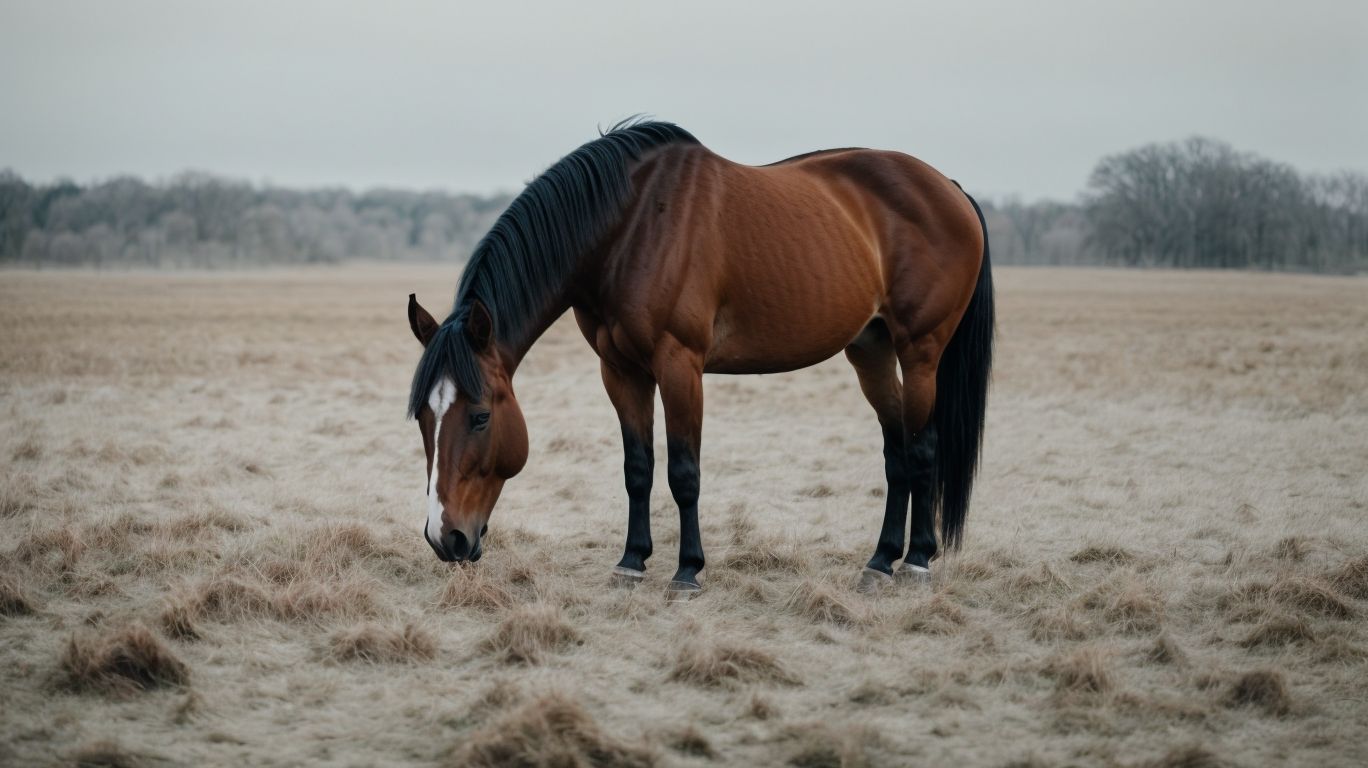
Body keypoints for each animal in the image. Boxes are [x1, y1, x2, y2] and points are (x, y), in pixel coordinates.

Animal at [406, 119, 993, 596]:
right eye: (423, 419)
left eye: (481, 417)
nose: (445, 538)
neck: (630, 225)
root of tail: (950, 189)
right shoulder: (620, 371)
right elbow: (638, 468)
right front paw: (631, 563)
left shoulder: (679, 364)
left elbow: (684, 471)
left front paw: (687, 571)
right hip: (870, 348)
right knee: (896, 450)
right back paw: (880, 561)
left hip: (920, 352)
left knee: (922, 448)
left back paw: (917, 561)